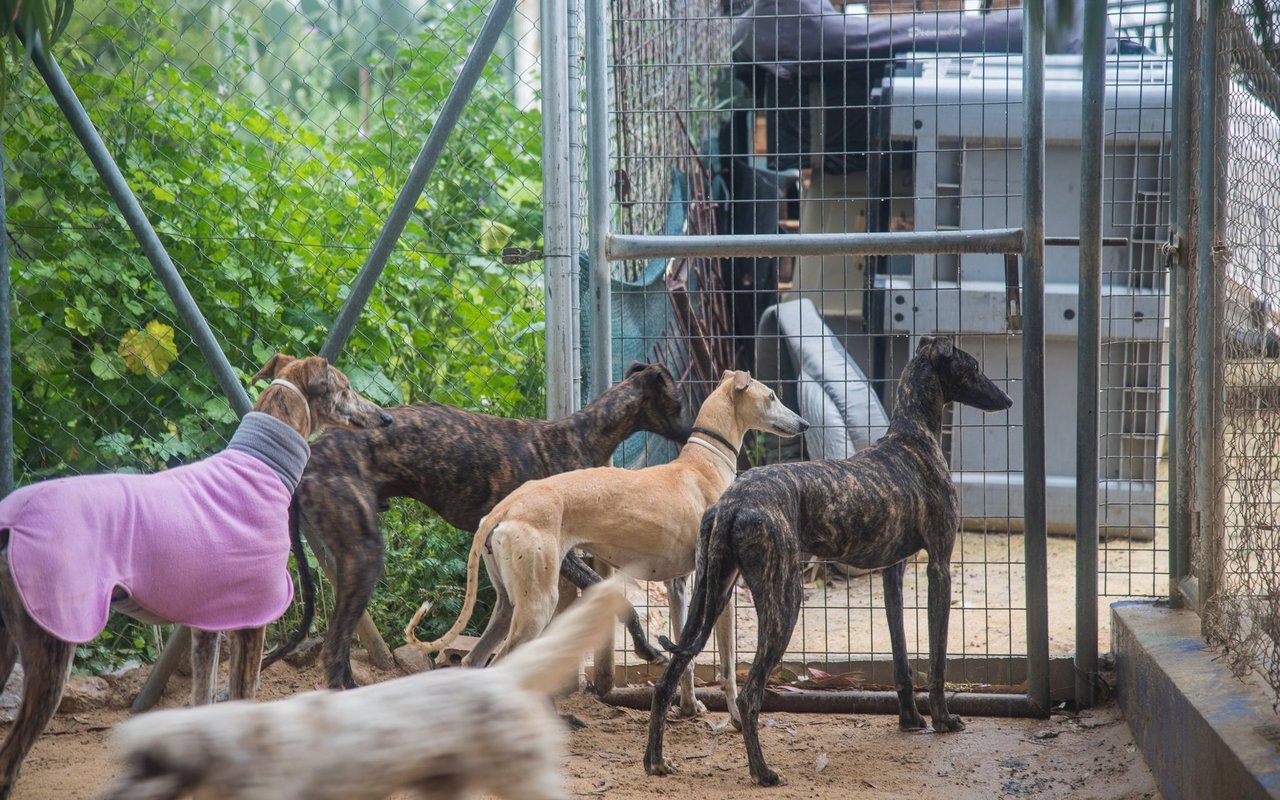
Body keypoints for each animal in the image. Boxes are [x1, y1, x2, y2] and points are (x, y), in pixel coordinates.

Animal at [0, 355, 394, 798]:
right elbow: (244, 700)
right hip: (52, 647)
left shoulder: (207, 627)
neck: (260, 464)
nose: (387, 418)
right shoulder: (251, 622)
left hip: (7, 647)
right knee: (8, 761)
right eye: (345, 388)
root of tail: (11, 522)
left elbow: (202, 702)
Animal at [101, 576, 634, 798]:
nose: (111, 797)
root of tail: (498, 676)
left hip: (520, 775)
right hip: (442, 786)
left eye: (147, 765)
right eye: (127, 764)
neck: (241, 743)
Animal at [267, 360, 691, 686]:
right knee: (335, 647)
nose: (692, 434)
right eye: (678, 401)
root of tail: (312, 454)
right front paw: (647, 648)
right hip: (364, 557)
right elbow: (623, 601)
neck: (579, 436)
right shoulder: (566, 557)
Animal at [407, 368, 808, 716]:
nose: (803, 424)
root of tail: (504, 507)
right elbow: (725, 662)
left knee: (474, 661)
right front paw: (735, 717)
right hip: (538, 603)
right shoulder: (718, 588)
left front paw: (690, 706)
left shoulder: (679, 585)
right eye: (771, 396)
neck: (702, 463)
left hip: (508, 604)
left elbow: (685, 657)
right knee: (502, 666)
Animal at [645, 335, 1013, 788]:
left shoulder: (892, 572)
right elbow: (938, 659)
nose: (1008, 400)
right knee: (749, 696)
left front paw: (910, 720)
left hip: (710, 593)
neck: (912, 438)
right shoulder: (939, 568)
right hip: (784, 599)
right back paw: (762, 771)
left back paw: (656, 761)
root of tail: (734, 502)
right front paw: (944, 720)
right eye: (973, 366)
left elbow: (902, 658)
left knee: (667, 678)